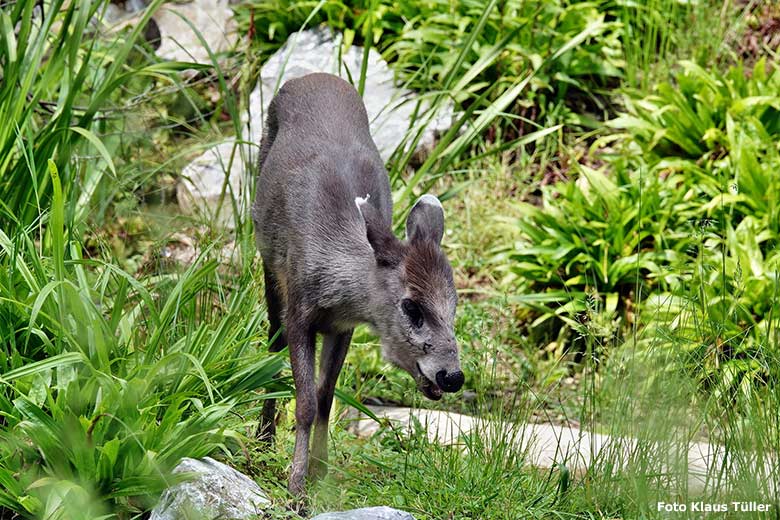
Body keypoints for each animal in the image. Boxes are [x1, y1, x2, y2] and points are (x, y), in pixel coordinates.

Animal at [253, 72, 464, 496]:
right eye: (411, 306)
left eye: (454, 305)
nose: (452, 376)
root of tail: (312, 76)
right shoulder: (299, 313)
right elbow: (305, 403)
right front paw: (296, 487)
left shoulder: (342, 327)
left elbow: (325, 395)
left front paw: (320, 471)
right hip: (268, 264)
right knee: (271, 345)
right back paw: (263, 438)